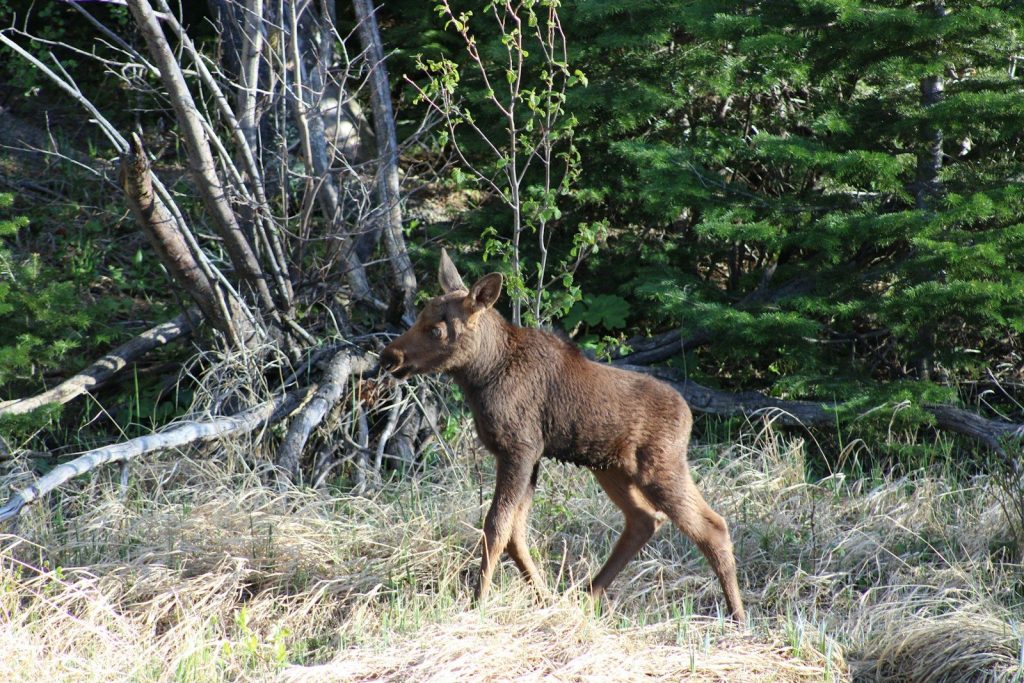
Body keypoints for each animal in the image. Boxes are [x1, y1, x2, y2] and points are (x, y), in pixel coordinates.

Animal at [379, 250, 746, 622]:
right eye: (419, 316)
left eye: (436, 329)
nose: (389, 356)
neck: (480, 377)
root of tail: (688, 416)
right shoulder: (527, 456)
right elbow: (515, 533)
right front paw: (543, 597)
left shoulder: (519, 449)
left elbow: (496, 527)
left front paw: (477, 602)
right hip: (611, 468)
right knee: (645, 520)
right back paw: (588, 595)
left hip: (659, 467)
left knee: (712, 526)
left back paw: (738, 616)